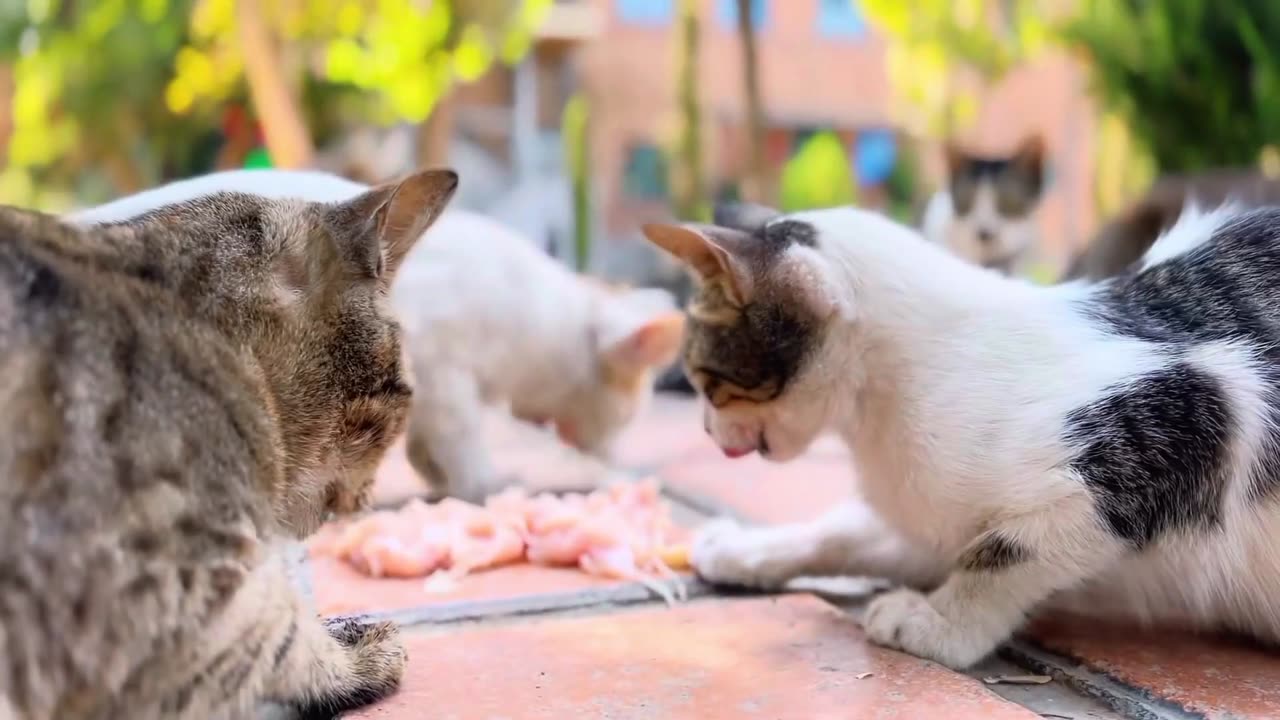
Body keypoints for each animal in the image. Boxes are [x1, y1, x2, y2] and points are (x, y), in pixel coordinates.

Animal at [76, 167, 686, 504]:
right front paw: (485, 485)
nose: (618, 459)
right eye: (631, 413)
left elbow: (422, 448)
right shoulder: (443, 372)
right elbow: (461, 443)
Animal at [645, 197, 1280, 666]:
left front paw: (940, 622)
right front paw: (746, 548)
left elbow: (1004, 551)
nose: (707, 430)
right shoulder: (929, 515)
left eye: (708, 381)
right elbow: (852, 531)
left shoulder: (1195, 410)